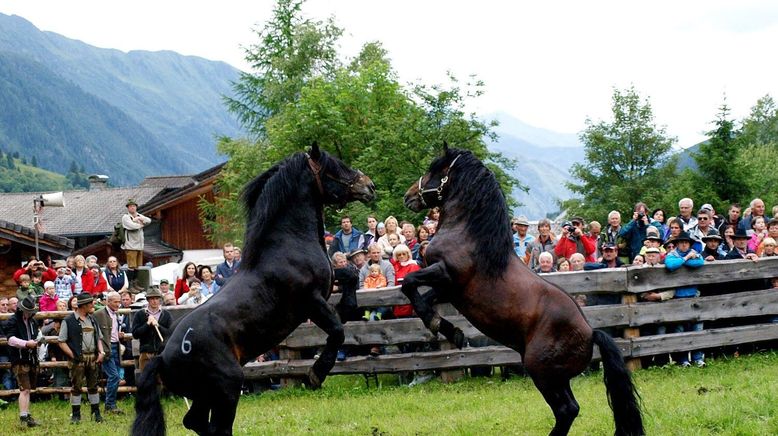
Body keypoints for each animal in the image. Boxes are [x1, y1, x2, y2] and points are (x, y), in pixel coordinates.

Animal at [131, 145, 376, 434]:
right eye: (336, 167)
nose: (369, 186)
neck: (287, 245)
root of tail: (163, 357)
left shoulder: (327, 284)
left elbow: (349, 276)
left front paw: (347, 307)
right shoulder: (310, 301)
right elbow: (337, 331)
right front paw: (316, 373)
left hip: (206, 393)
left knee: (195, 421)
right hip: (227, 386)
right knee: (216, 426)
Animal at [400, 146, 644, 436]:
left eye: (434, 169)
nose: (408, 196)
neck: (467, 237)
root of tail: (591, 333)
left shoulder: (445, 274)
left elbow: (408, 284)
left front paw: (437, 323)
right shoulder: (449, 290)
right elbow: (422, 298)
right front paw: (452, 331)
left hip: (541, 372)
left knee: (566, 410)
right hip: (557, 378)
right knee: (570, 409)